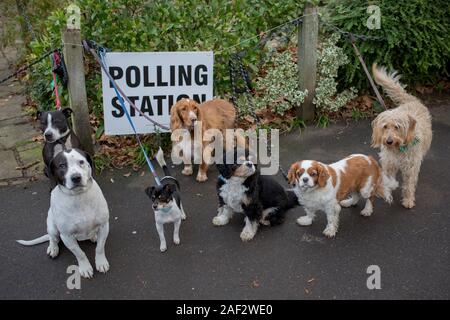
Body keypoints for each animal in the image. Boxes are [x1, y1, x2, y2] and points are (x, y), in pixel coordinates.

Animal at [17, 149, 110, 278]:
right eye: (62, 165)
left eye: (81, 162)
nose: (76, 177)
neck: (79, 197)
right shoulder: (66, 236)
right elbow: (80, 254)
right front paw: (85, 268)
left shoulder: (104, 226)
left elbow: (100, 248)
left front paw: (101, 263)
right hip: (52, 227)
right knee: (52, 238)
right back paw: (53, 248)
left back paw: (93, 236)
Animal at [370, 63, 434, 209]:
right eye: (385, 127)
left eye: (397, 127)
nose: (389, 141)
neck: (398, 148)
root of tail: (411, 100)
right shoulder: (389, 163)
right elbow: (388, 178)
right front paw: (387, 190)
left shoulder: (411, 166)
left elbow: (409, 185)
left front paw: (408, 200)